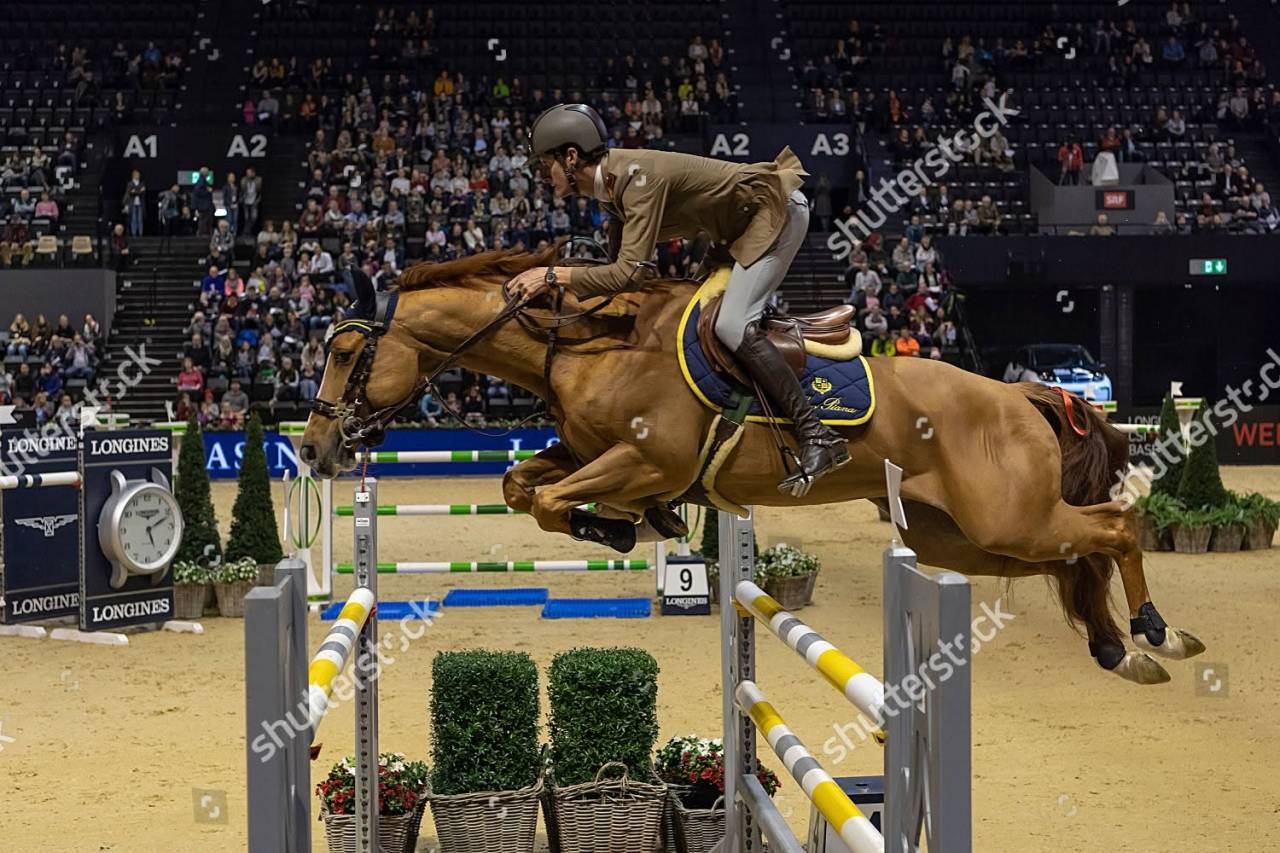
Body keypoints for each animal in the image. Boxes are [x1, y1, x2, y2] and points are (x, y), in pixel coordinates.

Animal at [300, 245, 1205, 685]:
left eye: (345, 354)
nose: (311, 448)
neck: (593, 344)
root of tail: (1024, 393)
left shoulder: (642, 456)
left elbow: (556, 501)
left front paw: (627, 527)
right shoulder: (591, 452)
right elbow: (523, 486)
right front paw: (640, 526)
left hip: (1005, 517)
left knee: (1118, 524)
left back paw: (1159, 629)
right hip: (969, 537)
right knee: (1078, 555)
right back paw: (1119, 648)